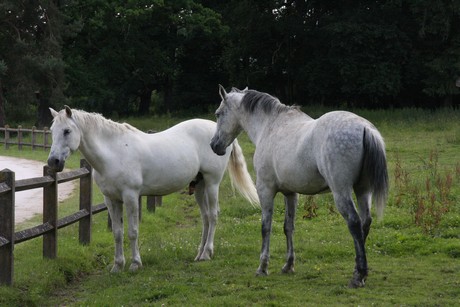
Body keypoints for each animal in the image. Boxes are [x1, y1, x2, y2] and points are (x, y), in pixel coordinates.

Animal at [48, 107, 260, 274]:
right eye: (52, 131)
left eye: (67, 130)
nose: (53, 162)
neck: (114, 152)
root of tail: (219, 135)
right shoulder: (111, 200)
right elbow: (117, 232)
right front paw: (117, 266)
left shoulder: (131, 196)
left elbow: (132, 231)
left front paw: (135, 264)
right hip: (200, 185)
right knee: (206, 217)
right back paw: (199, 254)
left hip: (212, 183)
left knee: (214, 216)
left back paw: (207, 253)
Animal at [211, 86, 388, 288]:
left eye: (218, 114)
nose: (214, 145)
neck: (270, 126)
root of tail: (365, 128)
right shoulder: (290, 193)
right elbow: (289, 227)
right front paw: (288, 265)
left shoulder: (265, 190)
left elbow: (265, 227)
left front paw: (262, 267)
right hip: (362, 190)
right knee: (365, 222)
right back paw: (358, 272)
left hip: (341, 191)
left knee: (354, 223)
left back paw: (359, 276)